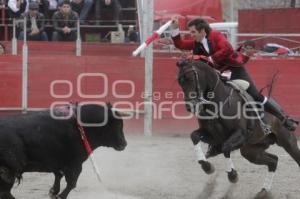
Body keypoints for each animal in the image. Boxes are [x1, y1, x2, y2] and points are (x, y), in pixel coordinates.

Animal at [176, 58, 300, 197]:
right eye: (179, 81)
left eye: (191, 78)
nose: (190, 106)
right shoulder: (213, 137)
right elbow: (194, 136)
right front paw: (206, 166)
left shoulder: (240, 134)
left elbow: (226, 148)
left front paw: (232, 175)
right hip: (251, 151)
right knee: (273, 160)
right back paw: (263, 192)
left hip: (288, 142)